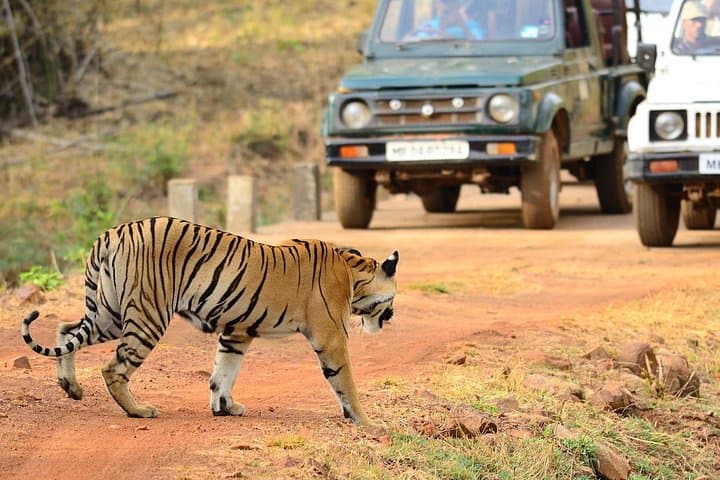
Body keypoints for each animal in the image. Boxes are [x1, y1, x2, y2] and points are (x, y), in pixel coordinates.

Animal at [21, 216, 398, 427]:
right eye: (392, 300)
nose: (392, 316)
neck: (353, 271)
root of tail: (113, 233)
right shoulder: (331, 336)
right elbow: (346, 382)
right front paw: (368, 423)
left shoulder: (237, 331)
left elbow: (223, 372)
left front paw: (225, 408)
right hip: (147, 316)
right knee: (113, 368)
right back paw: (138, 411)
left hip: (109, 313)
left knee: (66, 330)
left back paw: (71, 387)